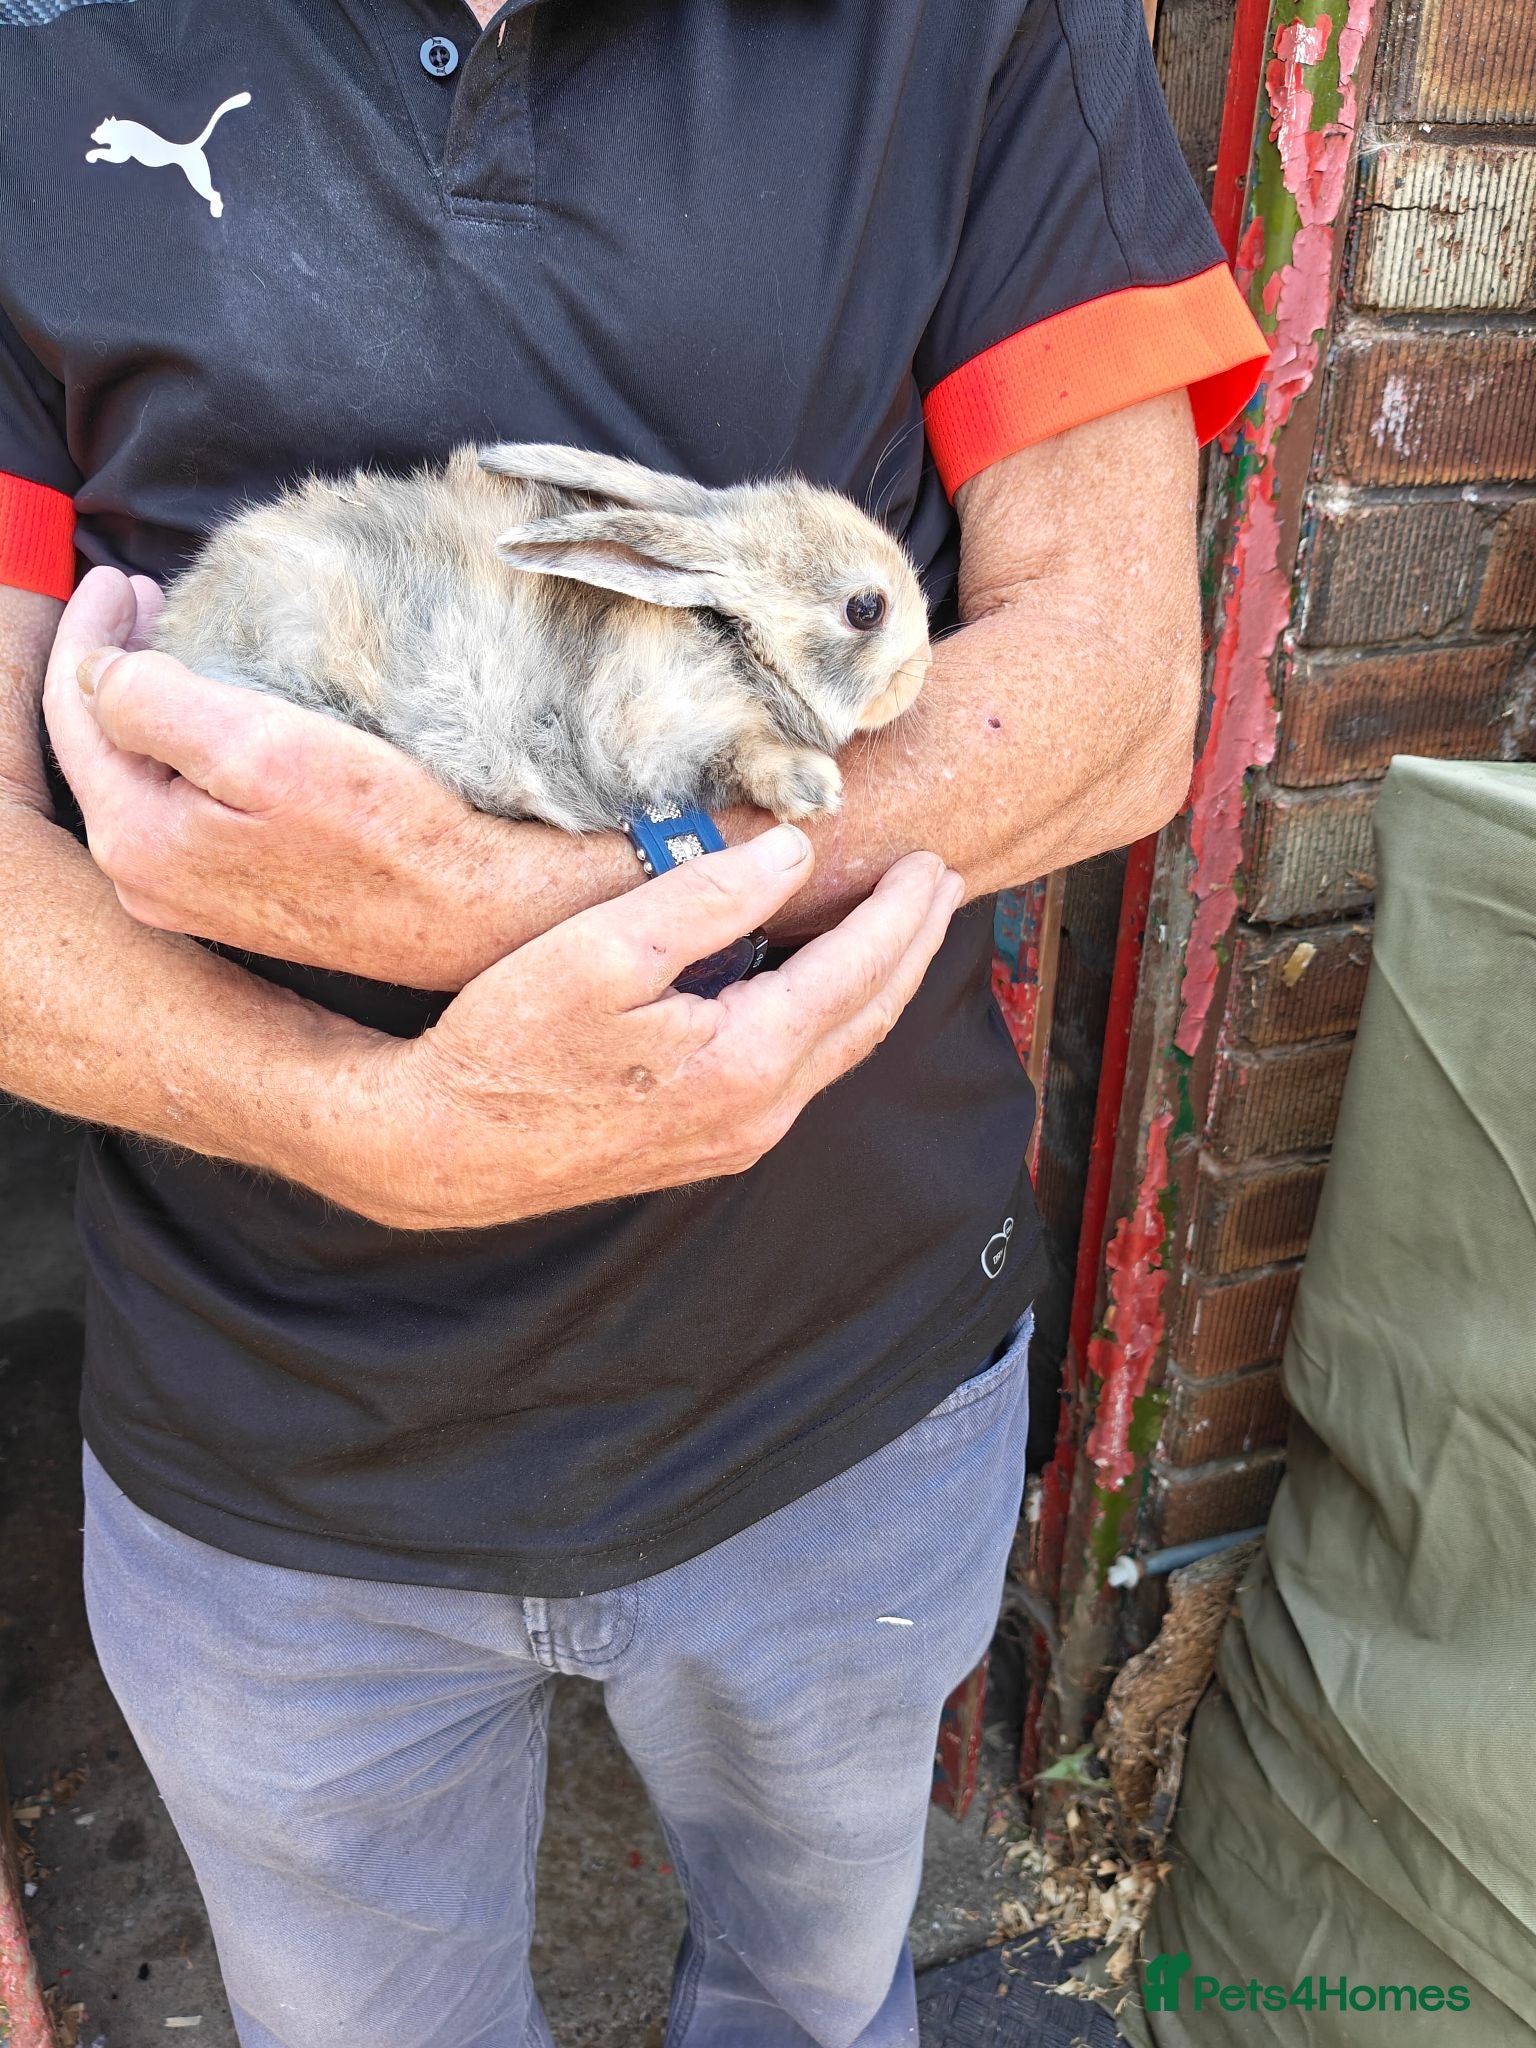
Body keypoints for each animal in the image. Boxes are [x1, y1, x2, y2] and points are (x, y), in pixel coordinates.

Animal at [154, 443, 932, 832]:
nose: (921, 669)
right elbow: (744, 753)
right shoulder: (654, 725)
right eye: (866, 609)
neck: (734, 638)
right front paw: (812, 787)